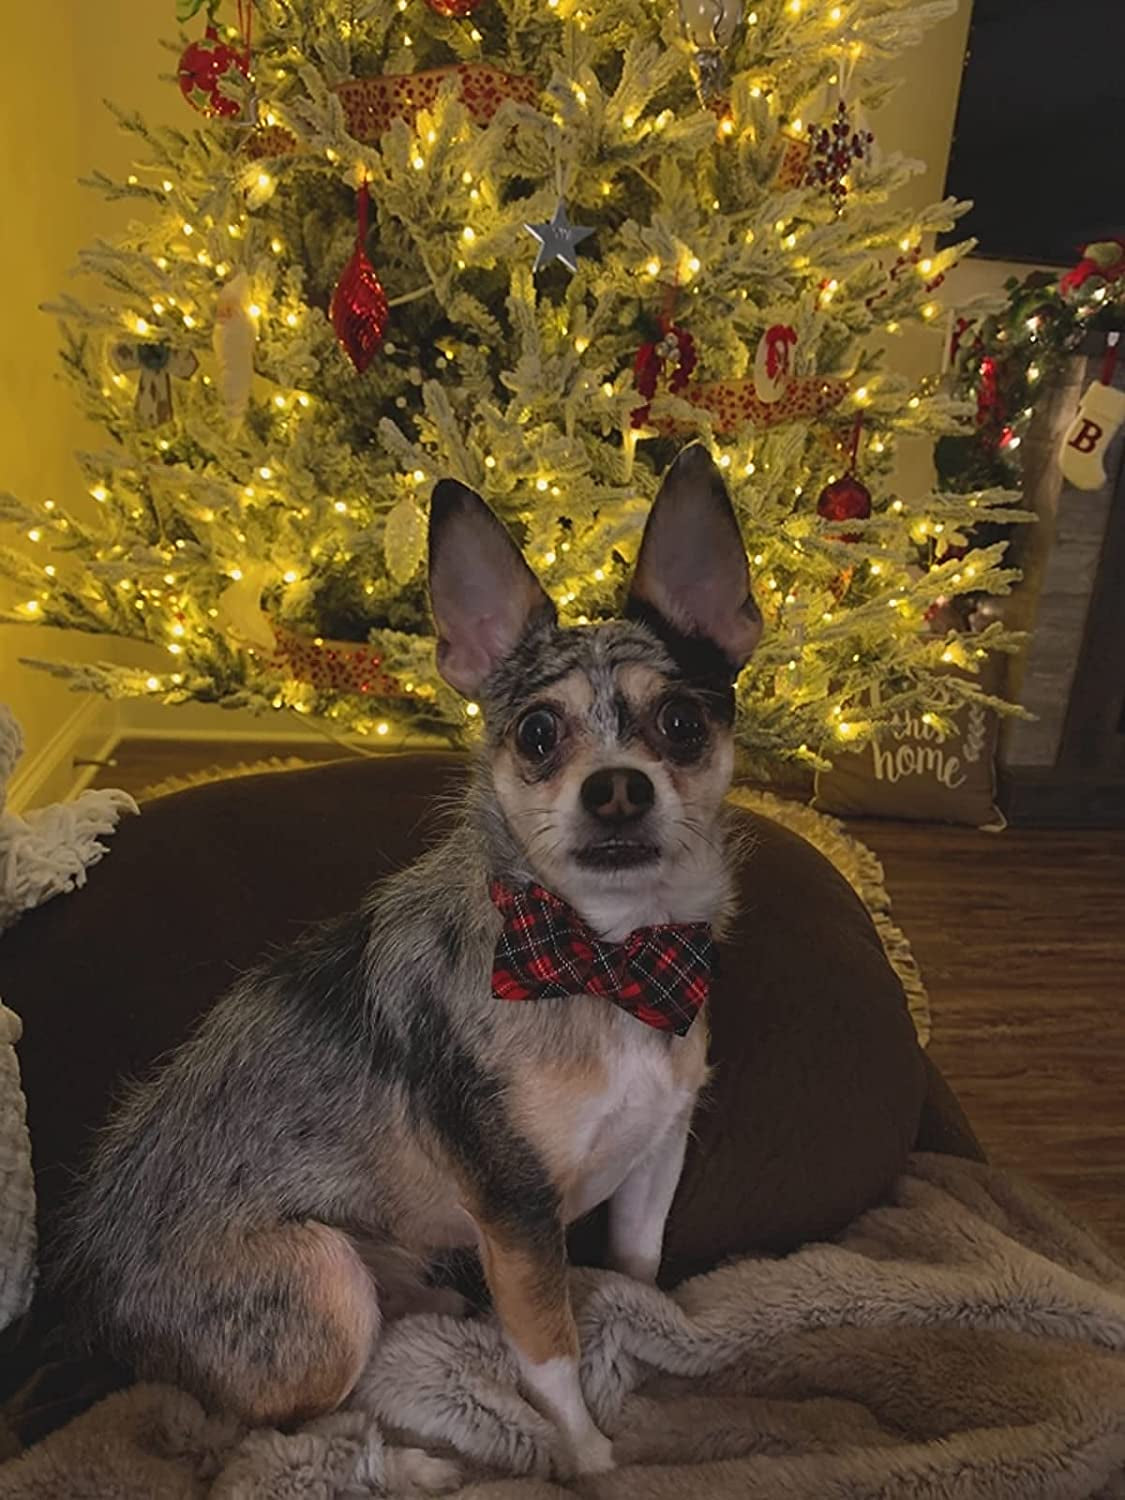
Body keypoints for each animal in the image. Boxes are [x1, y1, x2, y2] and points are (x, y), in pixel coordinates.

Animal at [63, 441, 768, 1476]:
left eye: (680, 723)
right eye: (537, 734)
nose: (615, 789)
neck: (601, 957)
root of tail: (96, 1304)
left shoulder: (653, 1157)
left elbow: (635, 1276)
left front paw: (640, 1350)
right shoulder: (516, 1215)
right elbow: (549, 1354)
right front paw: (587, 1456)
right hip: (323, 1281)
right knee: (265, 1432)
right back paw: (410, 1460)